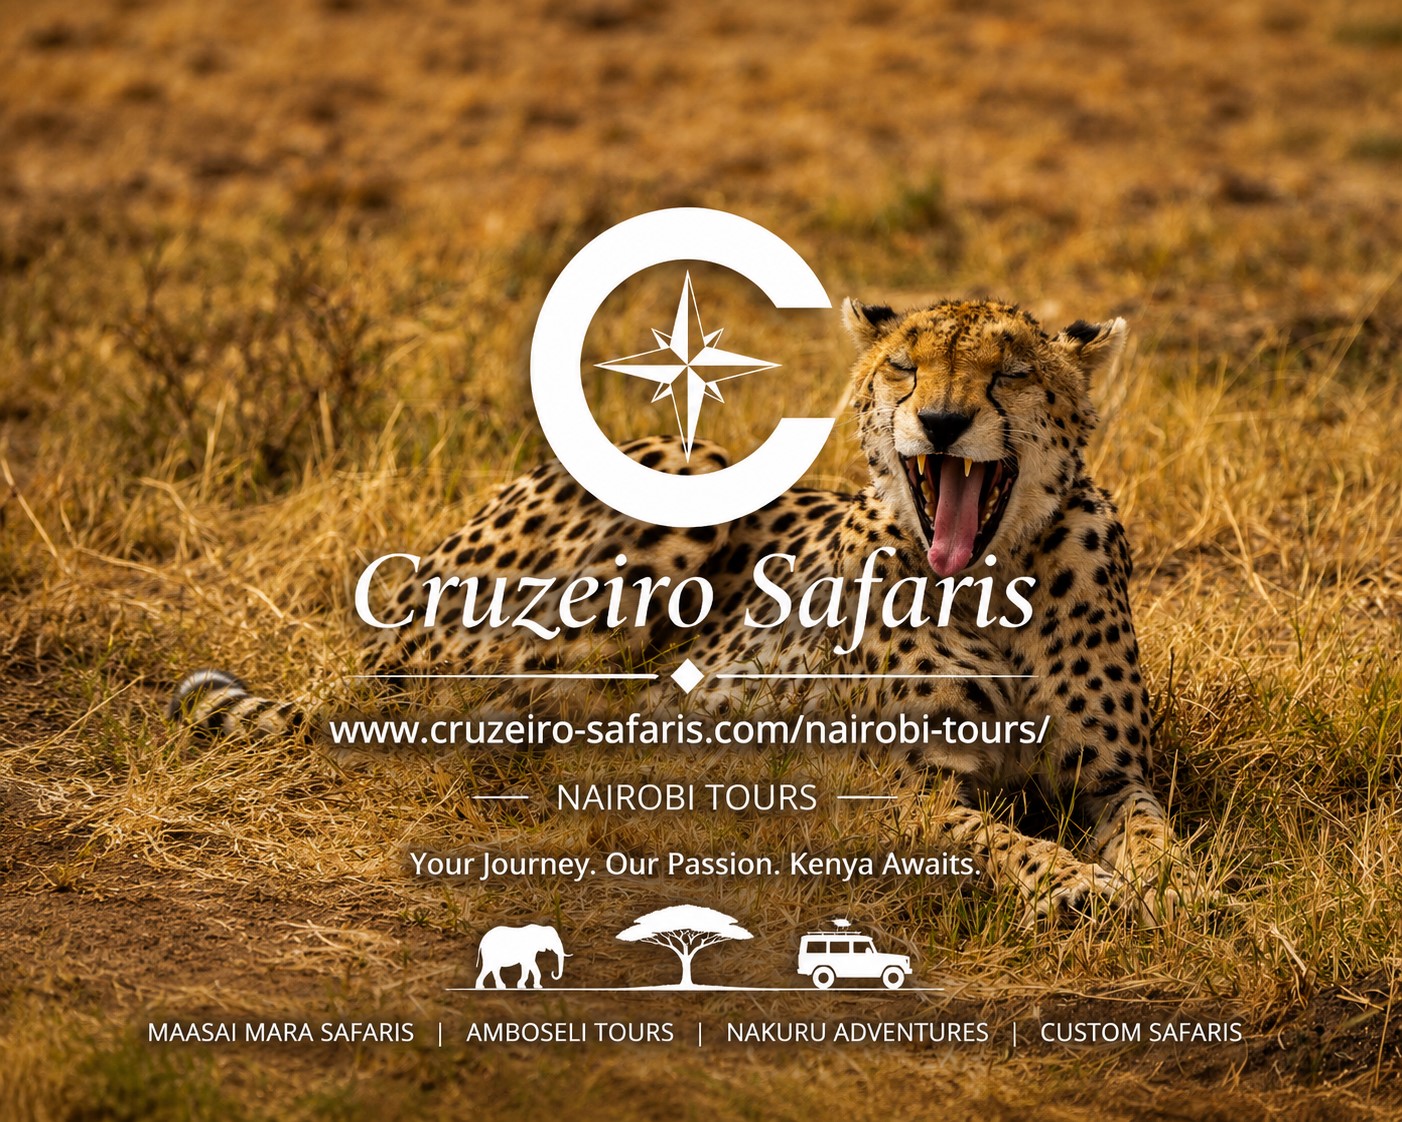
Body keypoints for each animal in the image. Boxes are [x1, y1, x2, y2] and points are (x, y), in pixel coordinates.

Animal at [171, 297, 1196, 925]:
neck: (995, 577)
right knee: (487, 715)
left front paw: (1179, 890)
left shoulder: (1110, 777)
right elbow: (987, 836)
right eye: (905, 366)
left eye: (1011, 373)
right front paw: (1075, 884)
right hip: (678, 474)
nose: (940, 423)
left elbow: (1155, 833)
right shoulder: (884, 786)